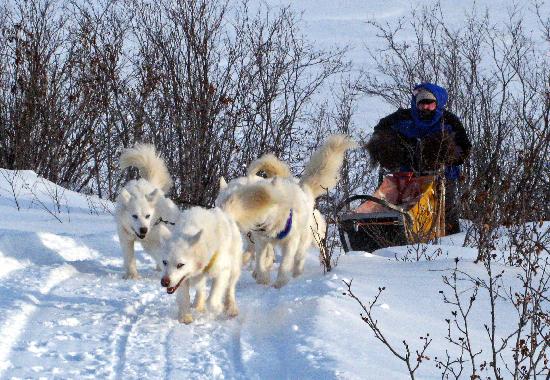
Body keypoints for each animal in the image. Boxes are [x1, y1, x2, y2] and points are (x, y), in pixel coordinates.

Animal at [117, 144, 181, 280]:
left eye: (148, 216)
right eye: (134, 216)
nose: (143, 230)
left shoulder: (154, 239)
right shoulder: (126, 237)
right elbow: (129, 257)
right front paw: (132, 276)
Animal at [161, 190, 280, 324]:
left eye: (180, 265)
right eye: (164, 262)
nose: (164, 282)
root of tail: (225, 213)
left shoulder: (222, 271)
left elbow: (213, 299)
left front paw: (218, 308)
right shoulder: (182, 279)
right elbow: (184, 297)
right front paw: (185, 316)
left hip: (233, 269)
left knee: (230, 289)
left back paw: (231, 308)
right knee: (201, 289)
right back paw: (198, 304)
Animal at [220, 135, 358, 286]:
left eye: (246, 204)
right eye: (222, 203)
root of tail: (302, 188)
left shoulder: (290, 241)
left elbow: (284, 263)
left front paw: (280, 282)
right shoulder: (261, 242)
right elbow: (260, 261)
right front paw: (262, 278)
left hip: (307, 238)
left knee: (302, 256)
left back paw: (300, 273)